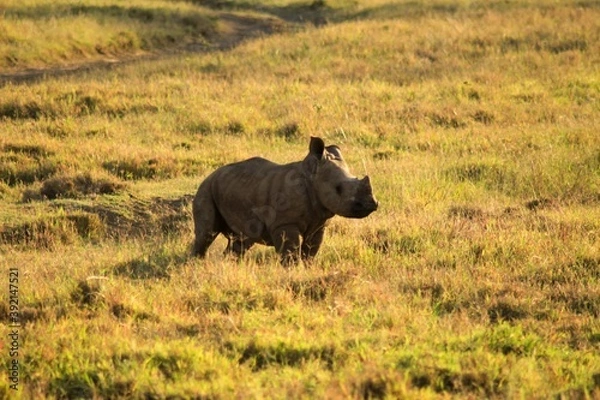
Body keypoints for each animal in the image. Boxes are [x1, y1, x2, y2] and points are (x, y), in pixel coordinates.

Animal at [193, 137, 380, 266]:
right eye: (338, 188)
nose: (372, 204)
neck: (312, 178)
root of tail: (210, 175)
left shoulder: (318, 222)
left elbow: (311, 250)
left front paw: (308, 268)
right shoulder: (284, 223)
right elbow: (290, 252)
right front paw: (293, 271)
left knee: (243, 239)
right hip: (205, 189)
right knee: (206, 234)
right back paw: (196, 264)